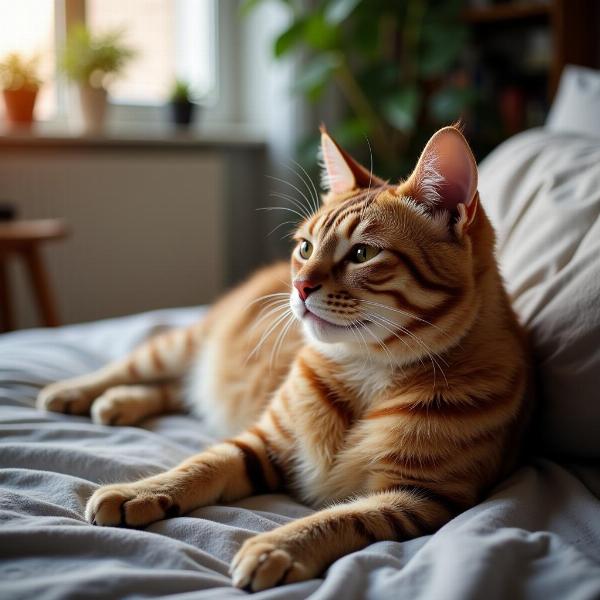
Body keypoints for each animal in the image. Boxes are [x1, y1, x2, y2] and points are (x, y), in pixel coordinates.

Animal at [39, 125, 532, 592]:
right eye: (306, 247)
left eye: (363, 253)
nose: (300, 286)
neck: (366, 369)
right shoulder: (264, 442)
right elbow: (200, 465)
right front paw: (140, 490)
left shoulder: (420, 498)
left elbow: (341, 518)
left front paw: (278, 546)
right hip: (183, 345)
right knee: (146, 370)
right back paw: (77, 393)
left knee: (182, 391)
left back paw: (119, 402)